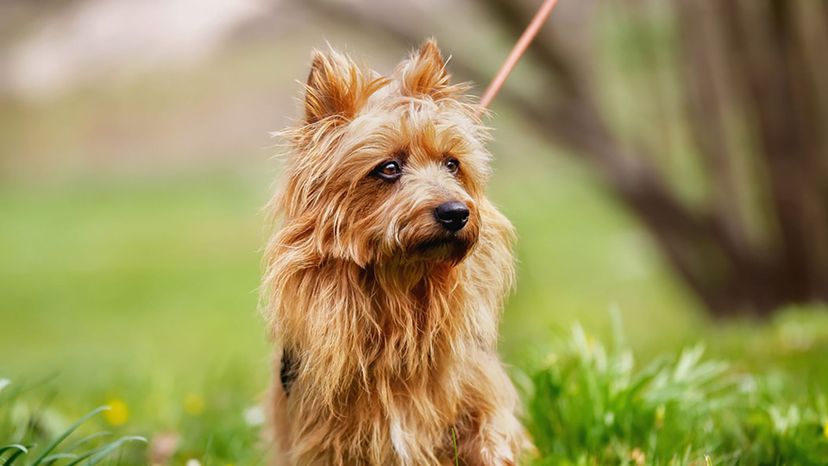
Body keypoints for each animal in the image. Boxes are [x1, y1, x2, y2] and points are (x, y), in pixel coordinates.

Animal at [262, 38, 532, 464]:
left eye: (452, 164)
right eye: (388, 168)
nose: (457, 213)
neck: (401, 288)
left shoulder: (480, 399)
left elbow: (489, 436)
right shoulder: (323, 436)